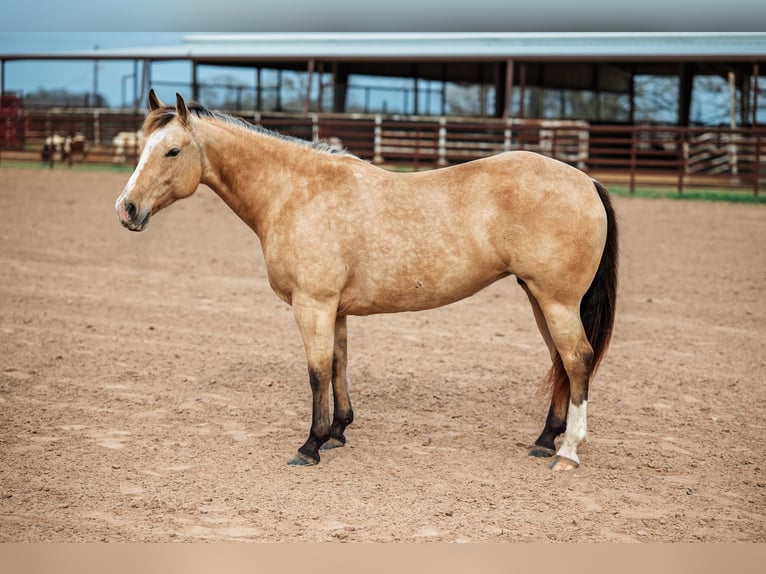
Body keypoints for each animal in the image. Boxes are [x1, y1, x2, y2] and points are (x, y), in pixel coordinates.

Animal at [115, 91, 618, 471]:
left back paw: (568, 453)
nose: (127, 209)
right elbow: (339, 363)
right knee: (559, 361)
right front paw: (338, 432)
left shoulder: (313, 304)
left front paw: (310, 445)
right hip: (539, 298)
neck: (295, 192)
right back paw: (544, 440)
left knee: (576, 360)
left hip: (556, 300)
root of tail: (586, 181)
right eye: (141, 149)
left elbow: (317, 371)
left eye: (172, 151)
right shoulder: (333, 308)